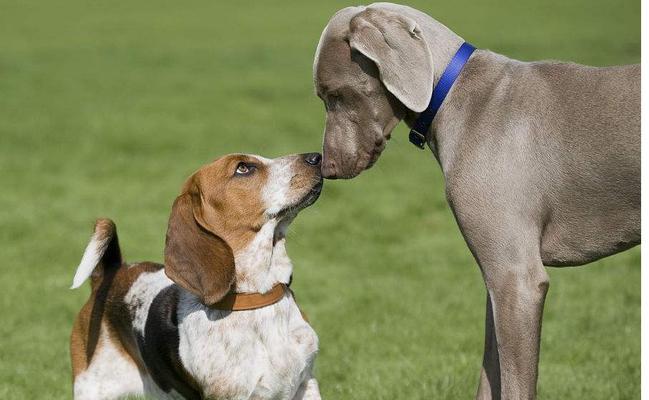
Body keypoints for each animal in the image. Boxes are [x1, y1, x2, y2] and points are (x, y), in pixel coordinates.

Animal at [312, 1, 636, 398]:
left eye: (335, 95)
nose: (327, 167)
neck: (455, 94)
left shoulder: (517, 280)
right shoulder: (496, 280)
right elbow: (488, 373)